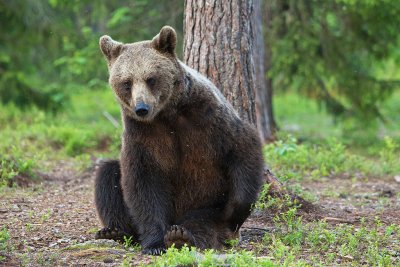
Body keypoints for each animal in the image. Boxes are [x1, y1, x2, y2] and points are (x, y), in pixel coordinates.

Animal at [95, 26, 264, 256]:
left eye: (151, 78)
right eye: (126, 82)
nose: (141, 108)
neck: (167, 114)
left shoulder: (209, 118)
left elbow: (243, 148)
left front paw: (234, 211)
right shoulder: (143, 136)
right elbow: (142, 183)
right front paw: (154, 243)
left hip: (204, 203)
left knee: (203, 222)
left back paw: (182, 235)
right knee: (108, 174)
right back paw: (115, 231)